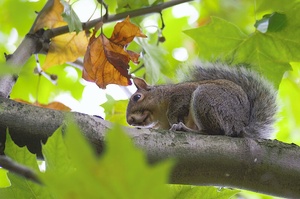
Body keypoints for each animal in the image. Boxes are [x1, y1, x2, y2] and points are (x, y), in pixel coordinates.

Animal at [125, 63, 278, 138]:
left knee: (213, 131)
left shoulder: (181, 94)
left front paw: (175, 121)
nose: (129, 121)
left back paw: (184, 128)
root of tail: (240, 125)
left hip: (204, 97)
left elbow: (175, 110)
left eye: (137, 97)